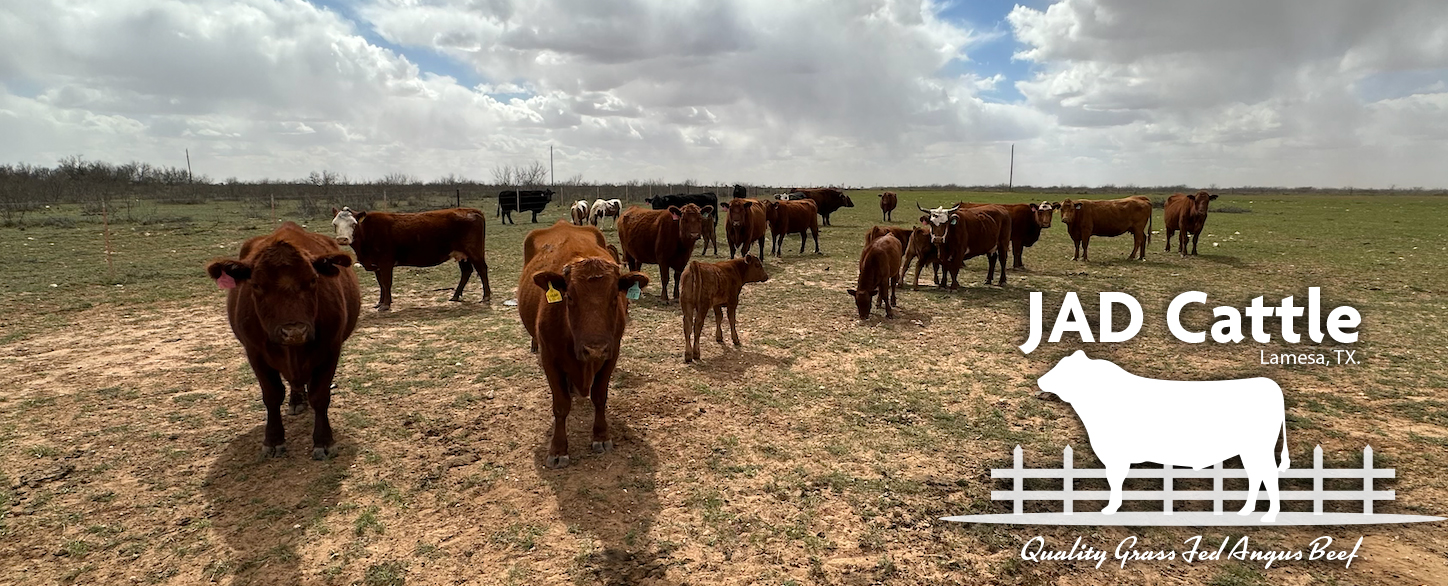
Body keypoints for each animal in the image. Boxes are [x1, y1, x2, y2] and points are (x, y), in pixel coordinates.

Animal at [205, 221, 360, 460]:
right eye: (256, 284)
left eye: (313, 280)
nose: (294, 331)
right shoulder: (255, 353)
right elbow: (272, 396)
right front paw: (273, 440)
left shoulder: (331, 348)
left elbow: (320, 396)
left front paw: (323, 441)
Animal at [518, 221, 648, 468]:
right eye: (569, 297)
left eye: (614, 297)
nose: (594, 349)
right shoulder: (550, 360)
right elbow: (561, 406)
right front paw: (558, 449)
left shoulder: (611, 354)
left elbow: (599, 397)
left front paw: (601, 436)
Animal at [1042, 348, 1291, 523]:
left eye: (1064, 369)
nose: (1040, 380)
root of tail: (1268, 383)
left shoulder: (1116, 456)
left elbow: (1114, 480)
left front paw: (1110, 508)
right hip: (1248, 451)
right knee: (1256, 476)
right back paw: (1246, 510)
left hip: (1258, 448)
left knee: (1269, 476)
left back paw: (1270, 515)